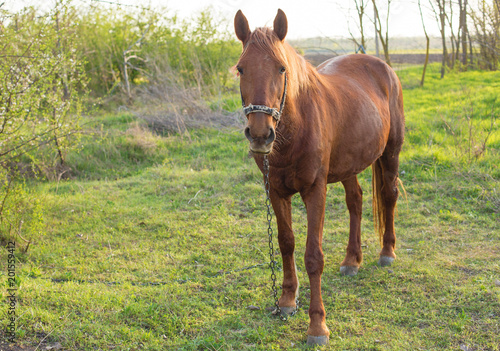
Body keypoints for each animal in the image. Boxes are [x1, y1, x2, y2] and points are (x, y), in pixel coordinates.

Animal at [233, 8, 402, 346]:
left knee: (388, 196)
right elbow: (286, 243)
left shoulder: (315, 191)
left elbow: (314, 256)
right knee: (355, 201)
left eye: (281, 67)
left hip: (390, 153)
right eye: (241, 69)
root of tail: (384, 69)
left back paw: (386, 253)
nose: (260, 134)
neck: (295, 129)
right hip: (349, 164)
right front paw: (286, 301)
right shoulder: (275, 191)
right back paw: (351, 261)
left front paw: (317, 326)